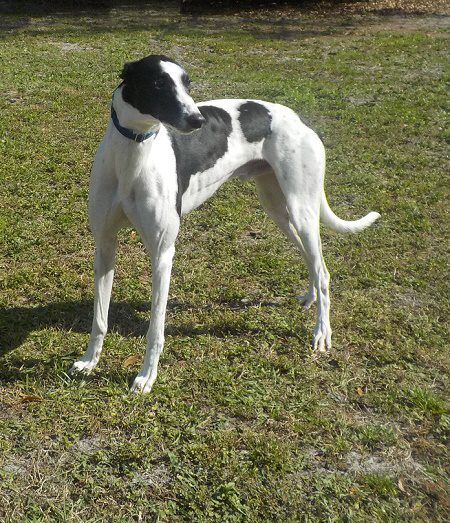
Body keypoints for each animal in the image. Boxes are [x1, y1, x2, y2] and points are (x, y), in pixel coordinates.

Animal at [70, 55, 380, 396]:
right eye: (158, 83)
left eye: (187, 82)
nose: (198, 120)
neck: (134, 155)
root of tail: (298, 120)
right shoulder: (104, 245)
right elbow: (100, 318)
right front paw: (89, 361)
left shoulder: (162, 253)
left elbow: (155, 329)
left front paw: (145, 377)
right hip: (278, 209)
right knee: (310, 259)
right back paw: (310, 298)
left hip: (302, 211)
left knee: (322, 269)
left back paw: (322, 331)